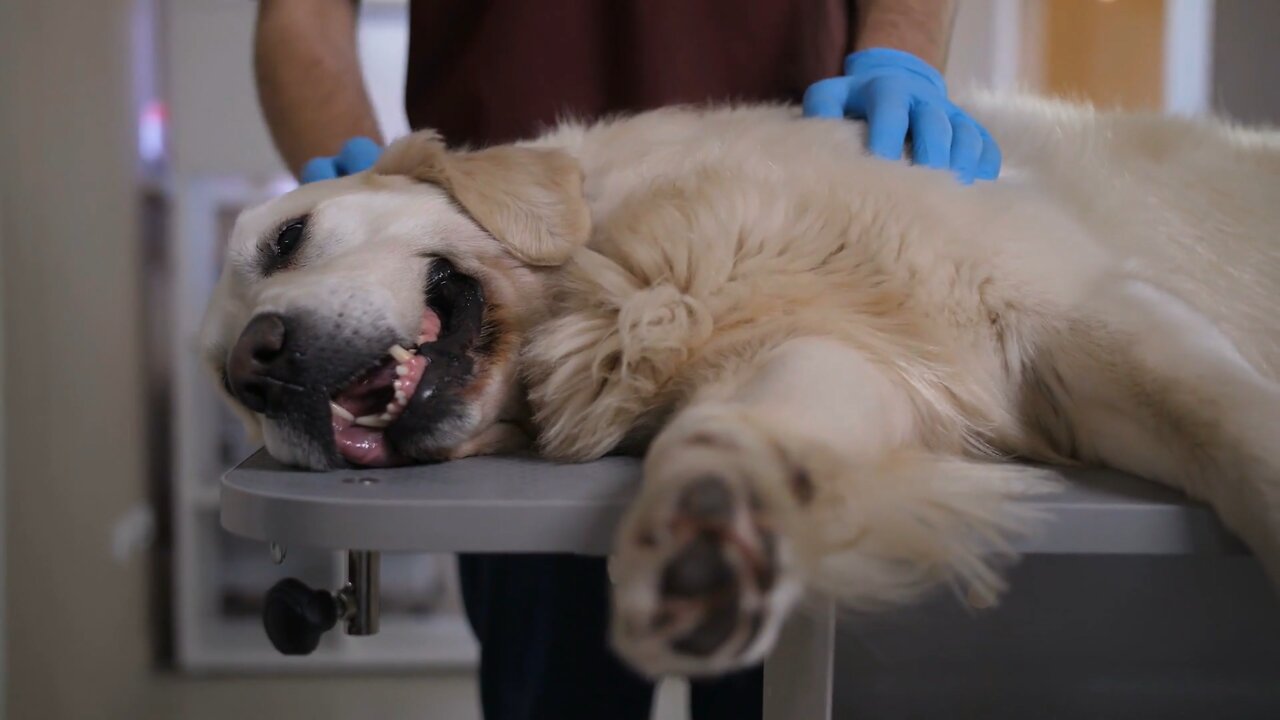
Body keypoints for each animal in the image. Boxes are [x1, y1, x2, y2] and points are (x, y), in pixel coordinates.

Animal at [199, 94, 1280, 671]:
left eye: (287, 237)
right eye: (224, 382)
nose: (257, 364)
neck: (610, 270)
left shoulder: (1080, 308)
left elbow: (1224, 419)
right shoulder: (828, 360)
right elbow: (731, 429)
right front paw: (707, 531)